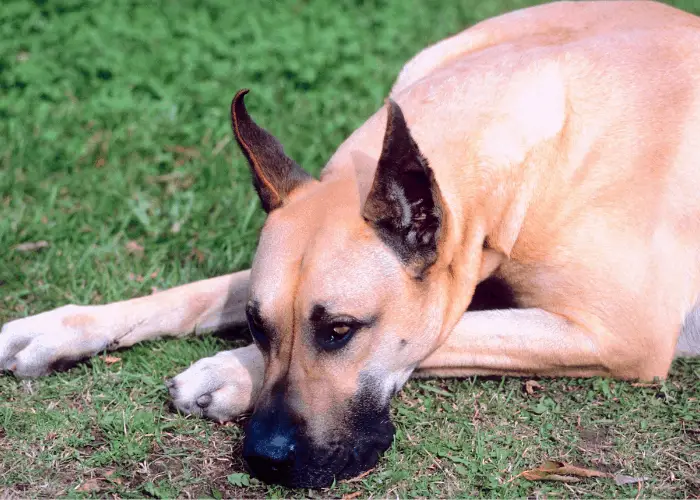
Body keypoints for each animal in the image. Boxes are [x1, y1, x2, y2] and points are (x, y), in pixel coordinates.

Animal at [1, 0, 700, 488]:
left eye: (339, 331)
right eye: (257, 325)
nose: (265, 458)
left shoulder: (623, 336)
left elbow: (447, 333)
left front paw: (226, 371)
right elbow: (192, 294)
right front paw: (60, 327)